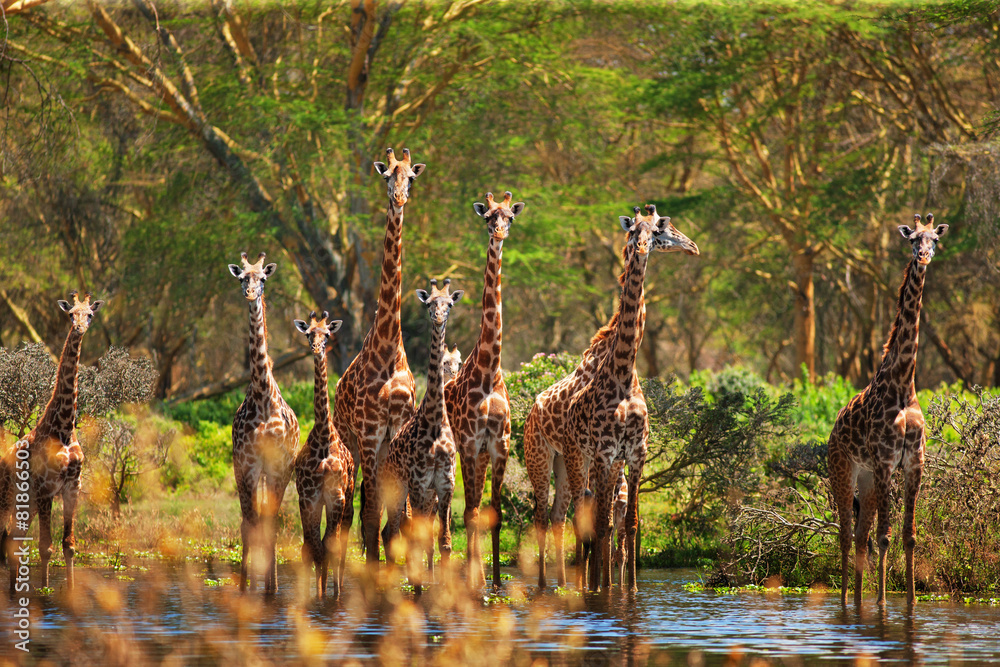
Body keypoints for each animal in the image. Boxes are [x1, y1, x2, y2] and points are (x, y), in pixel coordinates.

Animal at [0, 291, 101, 594]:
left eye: (90, 314)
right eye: (71, 314)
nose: (79, 328)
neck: (65, 428)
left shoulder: (71, 487)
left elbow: (69, 546)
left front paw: (69, 591)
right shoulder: (46, 488)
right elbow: (45, 547)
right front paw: (44, 591)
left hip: (26, 503)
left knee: (13, 538)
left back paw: (15, 589)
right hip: (8, 498)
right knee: (8, 538)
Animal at [380, 279, 463, 592]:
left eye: (449, 304)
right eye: (429, 304)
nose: (438, 318)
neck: (436, 422)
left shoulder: (444, 485)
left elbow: (445, 543)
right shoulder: (417, 485)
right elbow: (415, 539)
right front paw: (416, 589)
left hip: (424, 496)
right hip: (397, 490)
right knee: (391, 532)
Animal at [525, 205, 699, 589]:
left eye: (660, 227)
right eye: (636, 230)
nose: (693, 246)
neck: (622, 371)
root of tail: (530, 410)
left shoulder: (632, 454)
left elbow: (629, 524)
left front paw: (628, 589)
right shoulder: (604, 454)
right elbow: (601, 524)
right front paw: (600, 589)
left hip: (568, 464)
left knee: (562, 516)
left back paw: (567, 582)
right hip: (545, 458)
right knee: (547, 517)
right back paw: (550, 585)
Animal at [828, 213, 947, 607]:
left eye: (934, 239)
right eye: (912, 240)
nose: (924, 256)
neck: (903, 384)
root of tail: (832, 430)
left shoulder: (913, 463)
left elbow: (908, 535)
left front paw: (908, 602)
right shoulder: (884, 460)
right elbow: (885, 535)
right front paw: (882, 604)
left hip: (866, 478)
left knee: (860, 533)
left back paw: (858, 597)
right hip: (843, 469)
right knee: (846, 533)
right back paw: (846, 599)